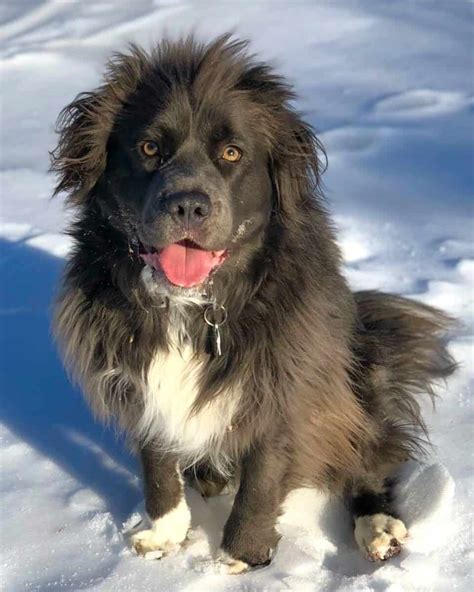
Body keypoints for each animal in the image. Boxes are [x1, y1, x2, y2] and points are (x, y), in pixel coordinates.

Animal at [51, 34, 456, 572]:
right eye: (148, 148)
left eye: (231, 152)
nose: (188, 205)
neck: (194, 307)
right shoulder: (134, 372)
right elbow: (157, 461)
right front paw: (163, 535)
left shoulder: (286, 379)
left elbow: (264, 475)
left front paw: (239, 556)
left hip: (358, 374)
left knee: (368, 450)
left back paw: (378, 526)